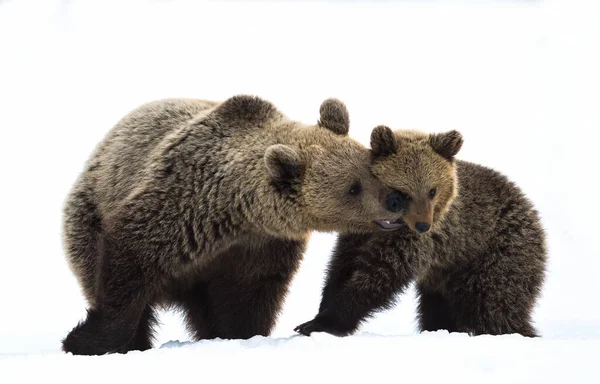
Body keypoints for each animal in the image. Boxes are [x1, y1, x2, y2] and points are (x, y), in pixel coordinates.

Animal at [61, 95, 406, 354]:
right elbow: (129, 268)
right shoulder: (179, 209)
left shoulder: (258, 248)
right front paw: (86, 341)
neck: (237, 216)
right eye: (353, 187)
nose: (396, 199)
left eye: (373, 166)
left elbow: (245, 299)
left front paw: (238, 335)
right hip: (87, 215)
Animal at [296, 127, 548, 340]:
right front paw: (321, 310)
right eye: (403, 192)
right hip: (444, 278)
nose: (423, 225)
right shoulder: (357, 235)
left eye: (432, 190)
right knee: (439, 310)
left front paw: (323, 323)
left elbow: (377, 277)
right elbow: (342, 267)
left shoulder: (414, 243)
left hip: (495, 256)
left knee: (493, 306)